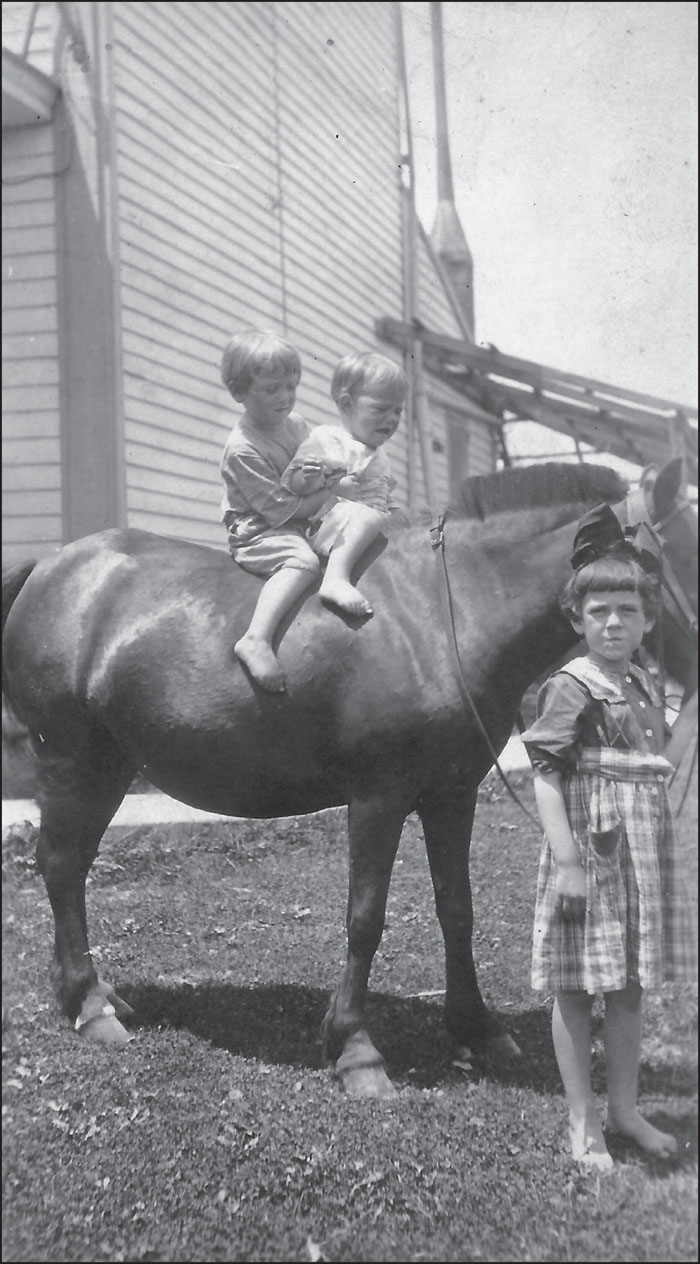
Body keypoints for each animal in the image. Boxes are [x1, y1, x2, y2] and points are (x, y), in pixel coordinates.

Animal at [4, 457, 692, 1097]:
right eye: (674, 562)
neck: (444, 614)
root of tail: (49, 567)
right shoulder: (378, 798)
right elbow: (365, 920)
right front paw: (356, 1049)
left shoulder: (453, 795)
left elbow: (457, 908)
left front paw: (476, 1027)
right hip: (73, 760)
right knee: (61, 866)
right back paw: (91, 1006)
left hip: (110, 766)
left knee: (72, 867)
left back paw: (94, 996)